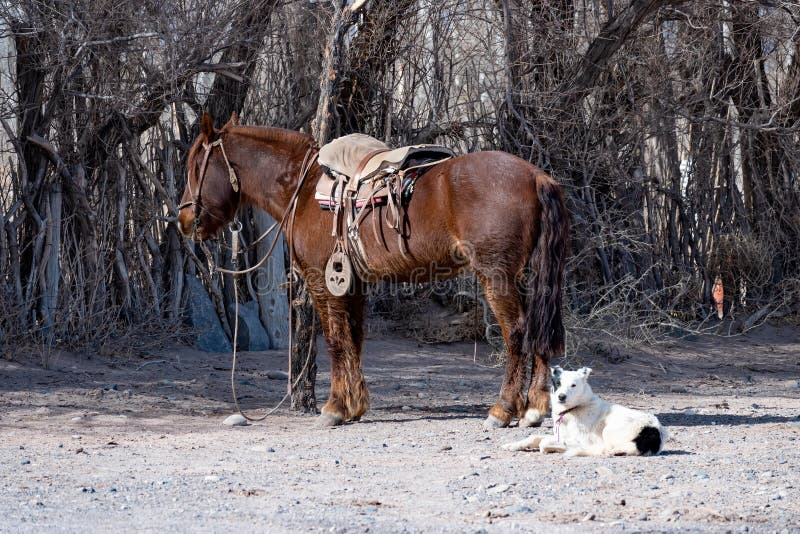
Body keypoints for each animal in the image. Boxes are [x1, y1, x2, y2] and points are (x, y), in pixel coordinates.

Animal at [181, 114, 568, 432]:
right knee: (536, 331)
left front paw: (334, 408)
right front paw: (355, 406)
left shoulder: (323, 282)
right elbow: (354, 338)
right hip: (524, 277)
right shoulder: (352, 284)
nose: (184, 219)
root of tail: (536, 176)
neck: (303, 190)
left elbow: (336, 340)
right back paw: (535, 409)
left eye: (196, 165)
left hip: (497, 276)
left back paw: (502, 410)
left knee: (517, 333)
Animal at [504, 368, 664, 460]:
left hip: (609, 430)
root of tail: (655, 431)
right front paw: (512, 445)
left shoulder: (582, 440)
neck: (571, 410)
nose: (561, 397)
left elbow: (544, 442)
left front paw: (554, 448)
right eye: (558, 383)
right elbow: (534, 437)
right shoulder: (559, 435)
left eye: (573, 385)